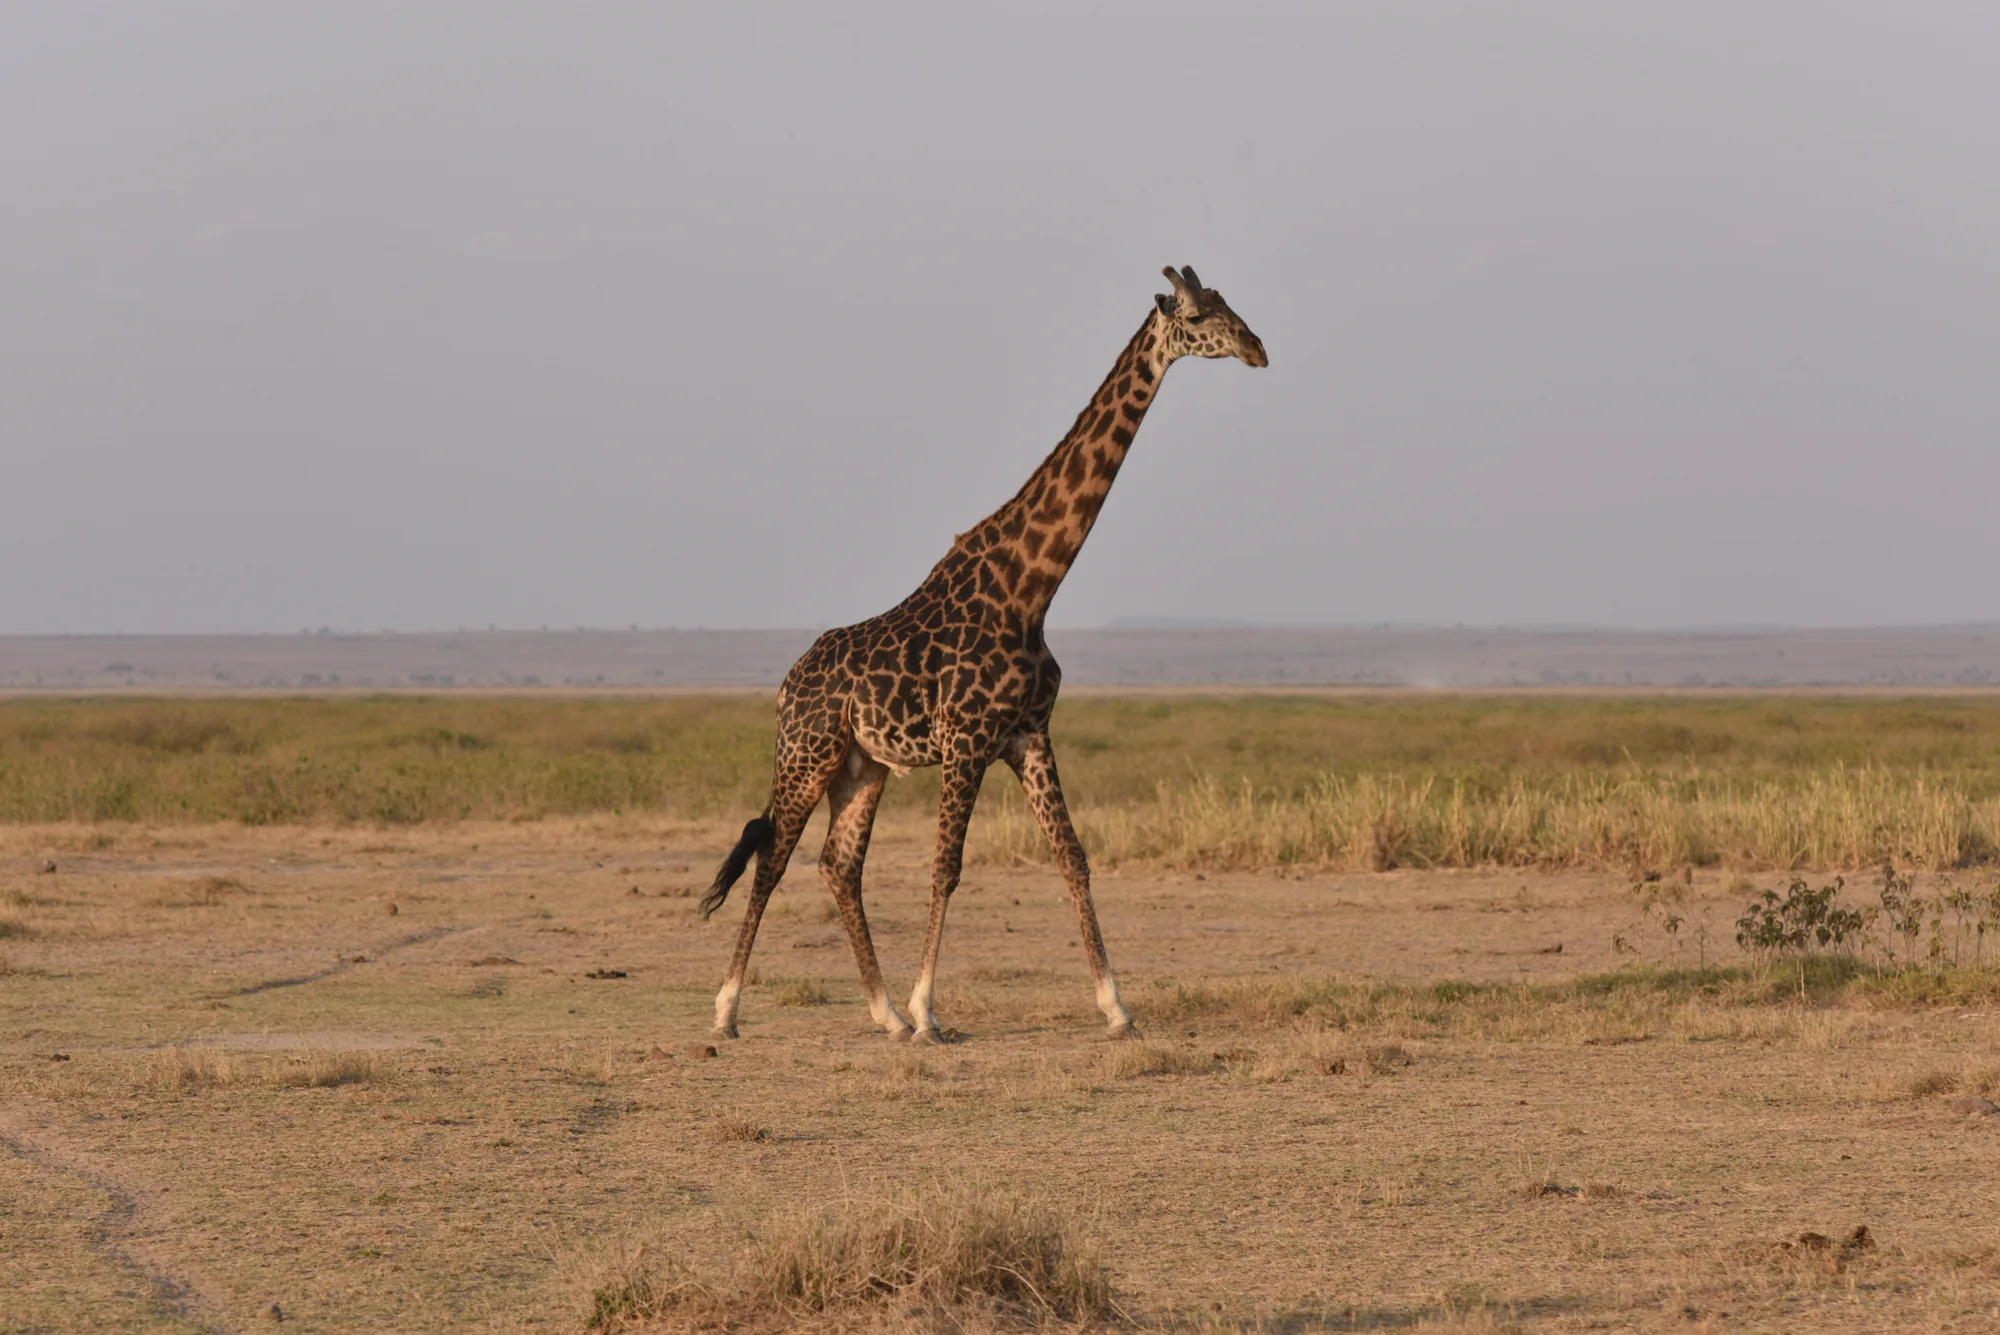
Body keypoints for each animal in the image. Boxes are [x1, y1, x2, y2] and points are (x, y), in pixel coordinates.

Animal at [701, 265, 1267, 1044]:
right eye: (1199, 314)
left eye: (1227, 302)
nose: (1257, 347)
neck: (1031, 586)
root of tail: (787, 686)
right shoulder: (965, 741)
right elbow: (946, 867)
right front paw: (928, 1011)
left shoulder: (1028, 734)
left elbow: (1073, 858)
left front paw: (1116, 1007)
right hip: (805, 755)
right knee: (772, 858)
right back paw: (728, 1010)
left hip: (860, 767)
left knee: (837, 865)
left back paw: (881, 1015)